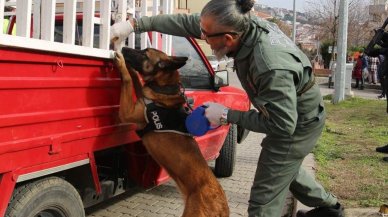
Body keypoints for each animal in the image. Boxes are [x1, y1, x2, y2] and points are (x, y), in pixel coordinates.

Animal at [113, 47, 230, 217]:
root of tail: (222, 207)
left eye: (144, 54)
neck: (163, 88)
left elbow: (128, 81)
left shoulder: (127, 113)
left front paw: (122, 64)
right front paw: (132, 71)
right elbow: (138, 83)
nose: (124, 48)